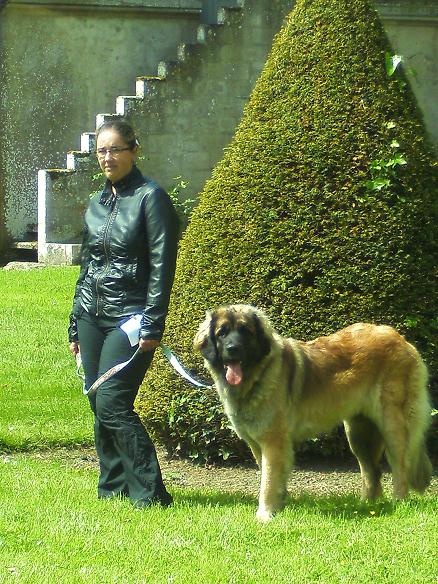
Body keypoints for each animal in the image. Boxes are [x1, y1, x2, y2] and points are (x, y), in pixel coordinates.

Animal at [194, 304, 432, 522]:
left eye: (246, 331)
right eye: (222, 333)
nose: (233, 348)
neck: (257, 377)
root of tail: (401, 339)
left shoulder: (273, 442)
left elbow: (268, 481)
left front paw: (265, 514)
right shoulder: (257, 445)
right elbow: (270, 476)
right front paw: (279, 506)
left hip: (392, 425)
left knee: (400, 466)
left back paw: (398, 503)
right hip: (357, 433)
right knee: (372, 471)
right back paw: (365, 506)